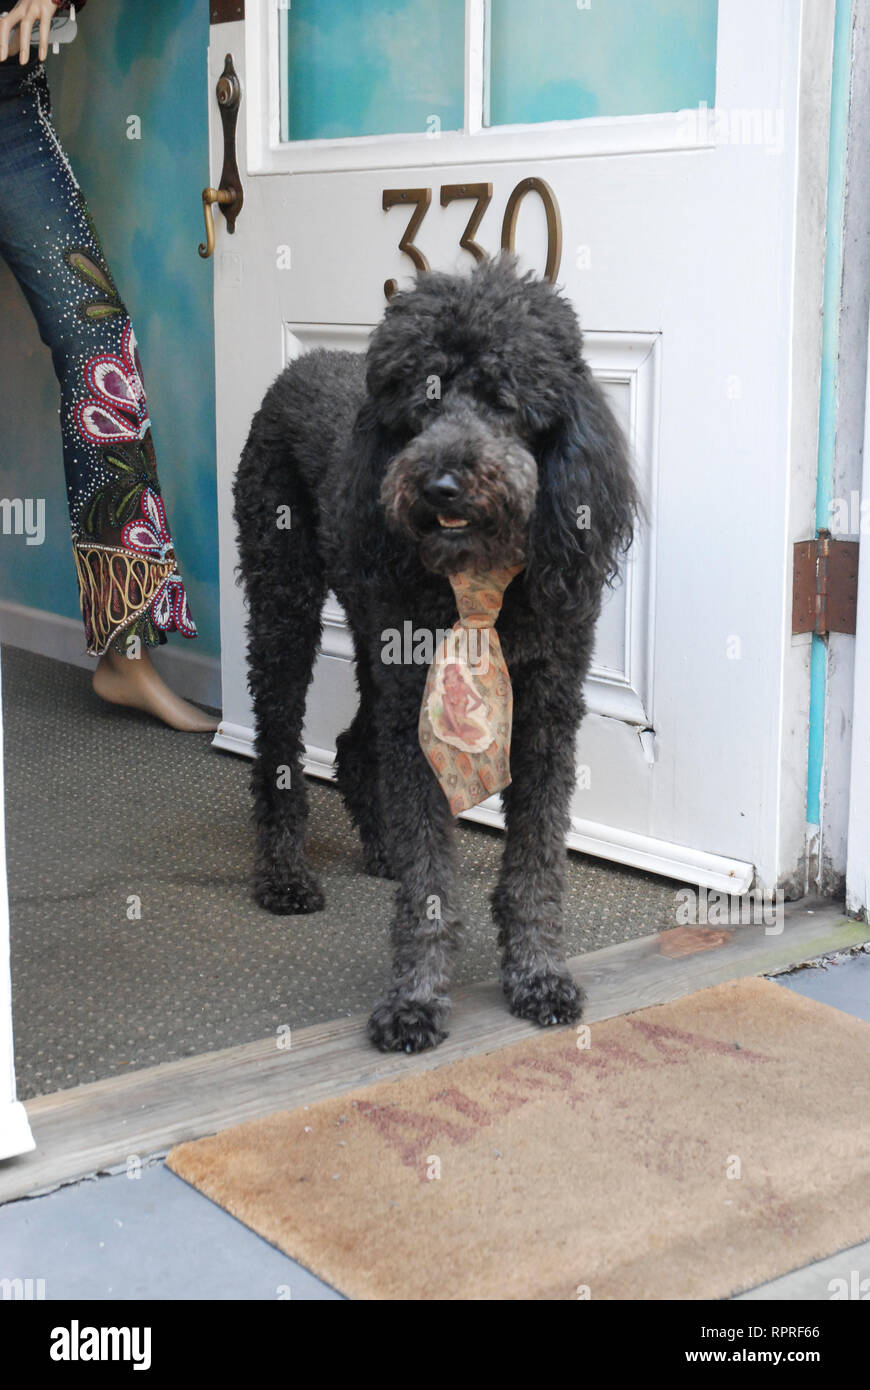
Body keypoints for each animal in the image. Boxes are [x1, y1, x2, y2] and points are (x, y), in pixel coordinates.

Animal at [233, 255, 633, 1045]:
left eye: (505, 397)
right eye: (422, 400)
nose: (442, 482)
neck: (479, 582)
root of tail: (302, 365)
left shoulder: (545, 715)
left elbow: (535, 861)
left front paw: (539, 974)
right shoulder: (423, 724)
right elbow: (430, 880)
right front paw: (415, 997)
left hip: (374, 638)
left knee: (354, 744)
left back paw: (380, 847)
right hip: (284, 604)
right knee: (280, 751)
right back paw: (285, 875)